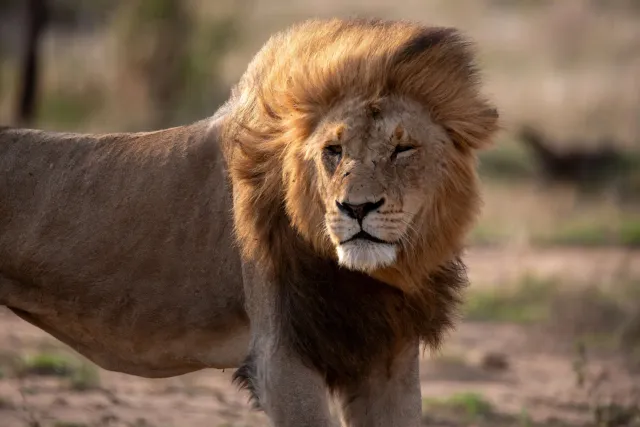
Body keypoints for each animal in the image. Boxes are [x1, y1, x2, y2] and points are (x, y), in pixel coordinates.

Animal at [0, 18, 498, 426]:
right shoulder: (281, 355)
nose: (356, 209)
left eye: (403, 149)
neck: (367, 276)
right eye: (333, 150)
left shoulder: (388, 356)